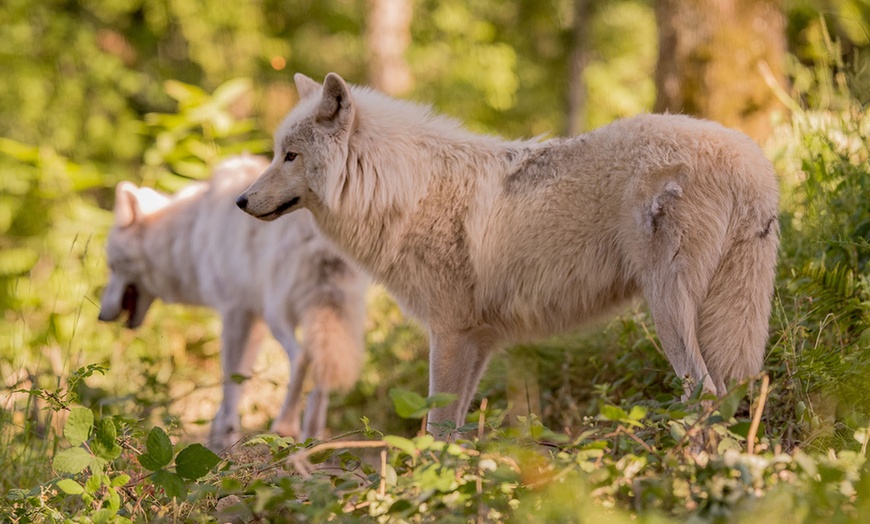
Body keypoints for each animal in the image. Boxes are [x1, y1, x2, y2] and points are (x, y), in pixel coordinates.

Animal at [99, 154, 372, 448]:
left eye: (111, 266)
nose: (101, 316)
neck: (189, 234)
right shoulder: (254, 320)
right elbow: (240, 381)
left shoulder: (234, 313)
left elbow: (230, 382)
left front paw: (223, 438)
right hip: (331, 315)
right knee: (322, 371)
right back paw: (313, 441)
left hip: (279, 314)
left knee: (301, 358)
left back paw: (285, 426)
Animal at [235, 71, 780, 436]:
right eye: (276, 152)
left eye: (290, 156)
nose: (241, 200)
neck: (400, 191)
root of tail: (752, 161)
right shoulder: (478, 340)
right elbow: (454, 431)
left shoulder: (449, 332)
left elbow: (435, 428)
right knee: (733, 392)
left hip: (668, 308)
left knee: (704, 394)